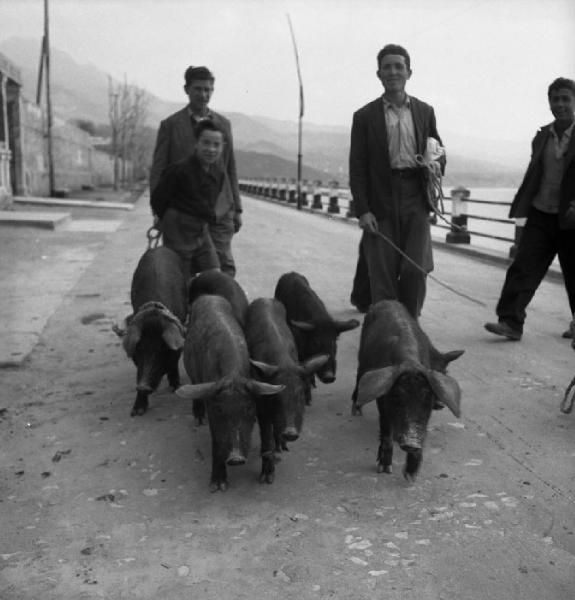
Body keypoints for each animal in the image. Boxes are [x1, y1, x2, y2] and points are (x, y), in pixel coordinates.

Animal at [176, 294, 284, 492]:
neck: (232, 375)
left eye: (249, 408)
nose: (236, 458)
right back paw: (198, 420)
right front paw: (217, 486)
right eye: (219, 410)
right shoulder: (212, 404)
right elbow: (216, 440)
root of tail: (209, 296)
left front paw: (267, 479)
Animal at [246, 298, 328, 486]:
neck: (283, 362)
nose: (290, 432)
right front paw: (267, 478)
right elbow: (266, 437)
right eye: (275, 397)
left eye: (300, 395)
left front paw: (283, 448)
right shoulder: (261, 405)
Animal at [352, 302, 464, 480]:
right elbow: (386, 430)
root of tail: (386, 301)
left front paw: (411, 476)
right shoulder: (383, 398)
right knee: (359, 376)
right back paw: (356, 410)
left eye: (428, 397)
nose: (411, 440)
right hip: (362, 357)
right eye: (397, 396)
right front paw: (385, 469)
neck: (410, 362)